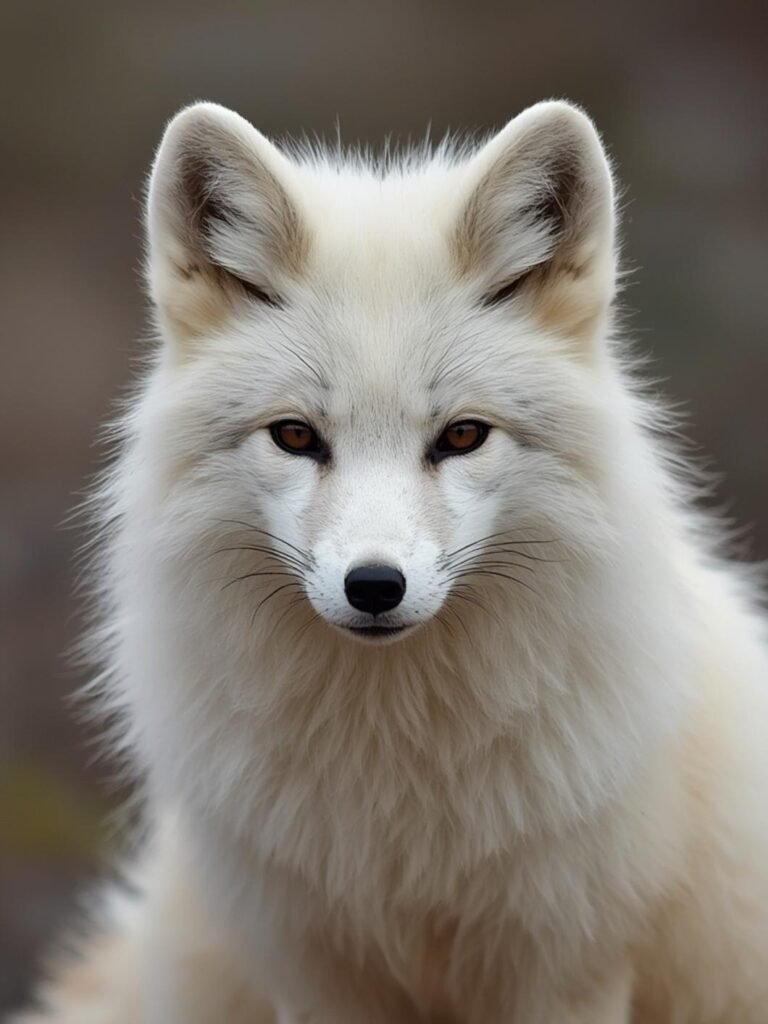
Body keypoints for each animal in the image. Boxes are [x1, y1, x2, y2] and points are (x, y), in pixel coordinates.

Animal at [13, 98, 768, 1023]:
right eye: (295, 436)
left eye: (464, 436)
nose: (374, 586)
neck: (400, 788)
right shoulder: (315, 973)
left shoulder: (566, 968)